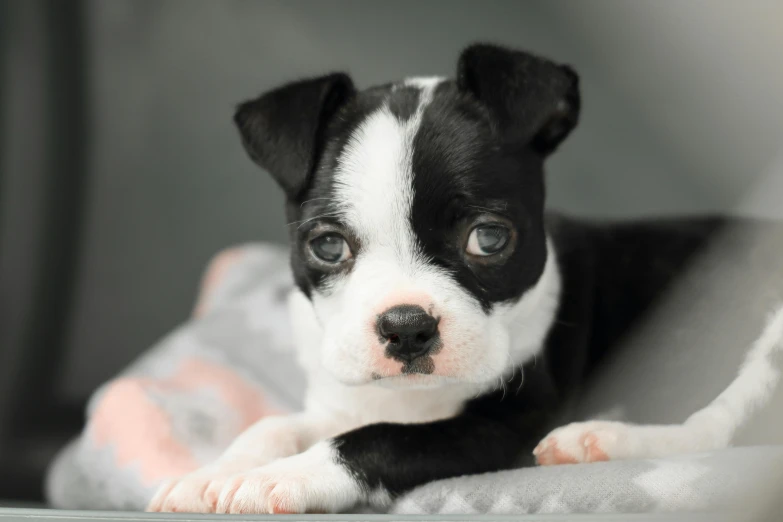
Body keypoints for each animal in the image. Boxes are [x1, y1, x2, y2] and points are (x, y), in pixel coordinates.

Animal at [145, 43, 760, 512]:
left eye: (488, 239)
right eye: (328, 246)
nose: (406, 327)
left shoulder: (501, 427)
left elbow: (378, 440)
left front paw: (281, 476)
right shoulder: (339, 403)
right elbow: (275, 424)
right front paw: (214, 473)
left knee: (718, 428)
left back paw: (598, 441)